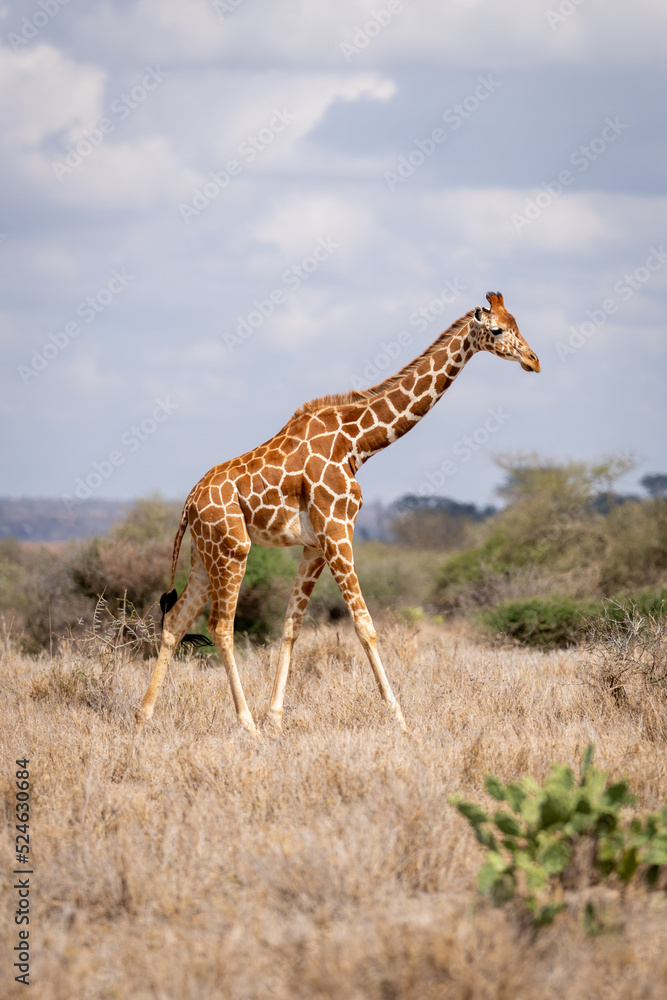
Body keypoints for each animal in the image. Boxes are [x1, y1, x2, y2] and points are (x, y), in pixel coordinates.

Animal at [135, 292, 540, 735]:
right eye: (497, 330)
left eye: (517, 323)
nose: (534, 360)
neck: (358, 443)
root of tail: (189, 503)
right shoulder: (337, 529)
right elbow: (366, 626)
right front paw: (400, 721)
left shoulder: (315, 543)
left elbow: (291, 627)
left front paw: (277, 719)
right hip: (233, 549)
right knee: (220, 626)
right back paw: (246, 725)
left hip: (204, 555)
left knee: (176, 619)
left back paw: (143, 716)